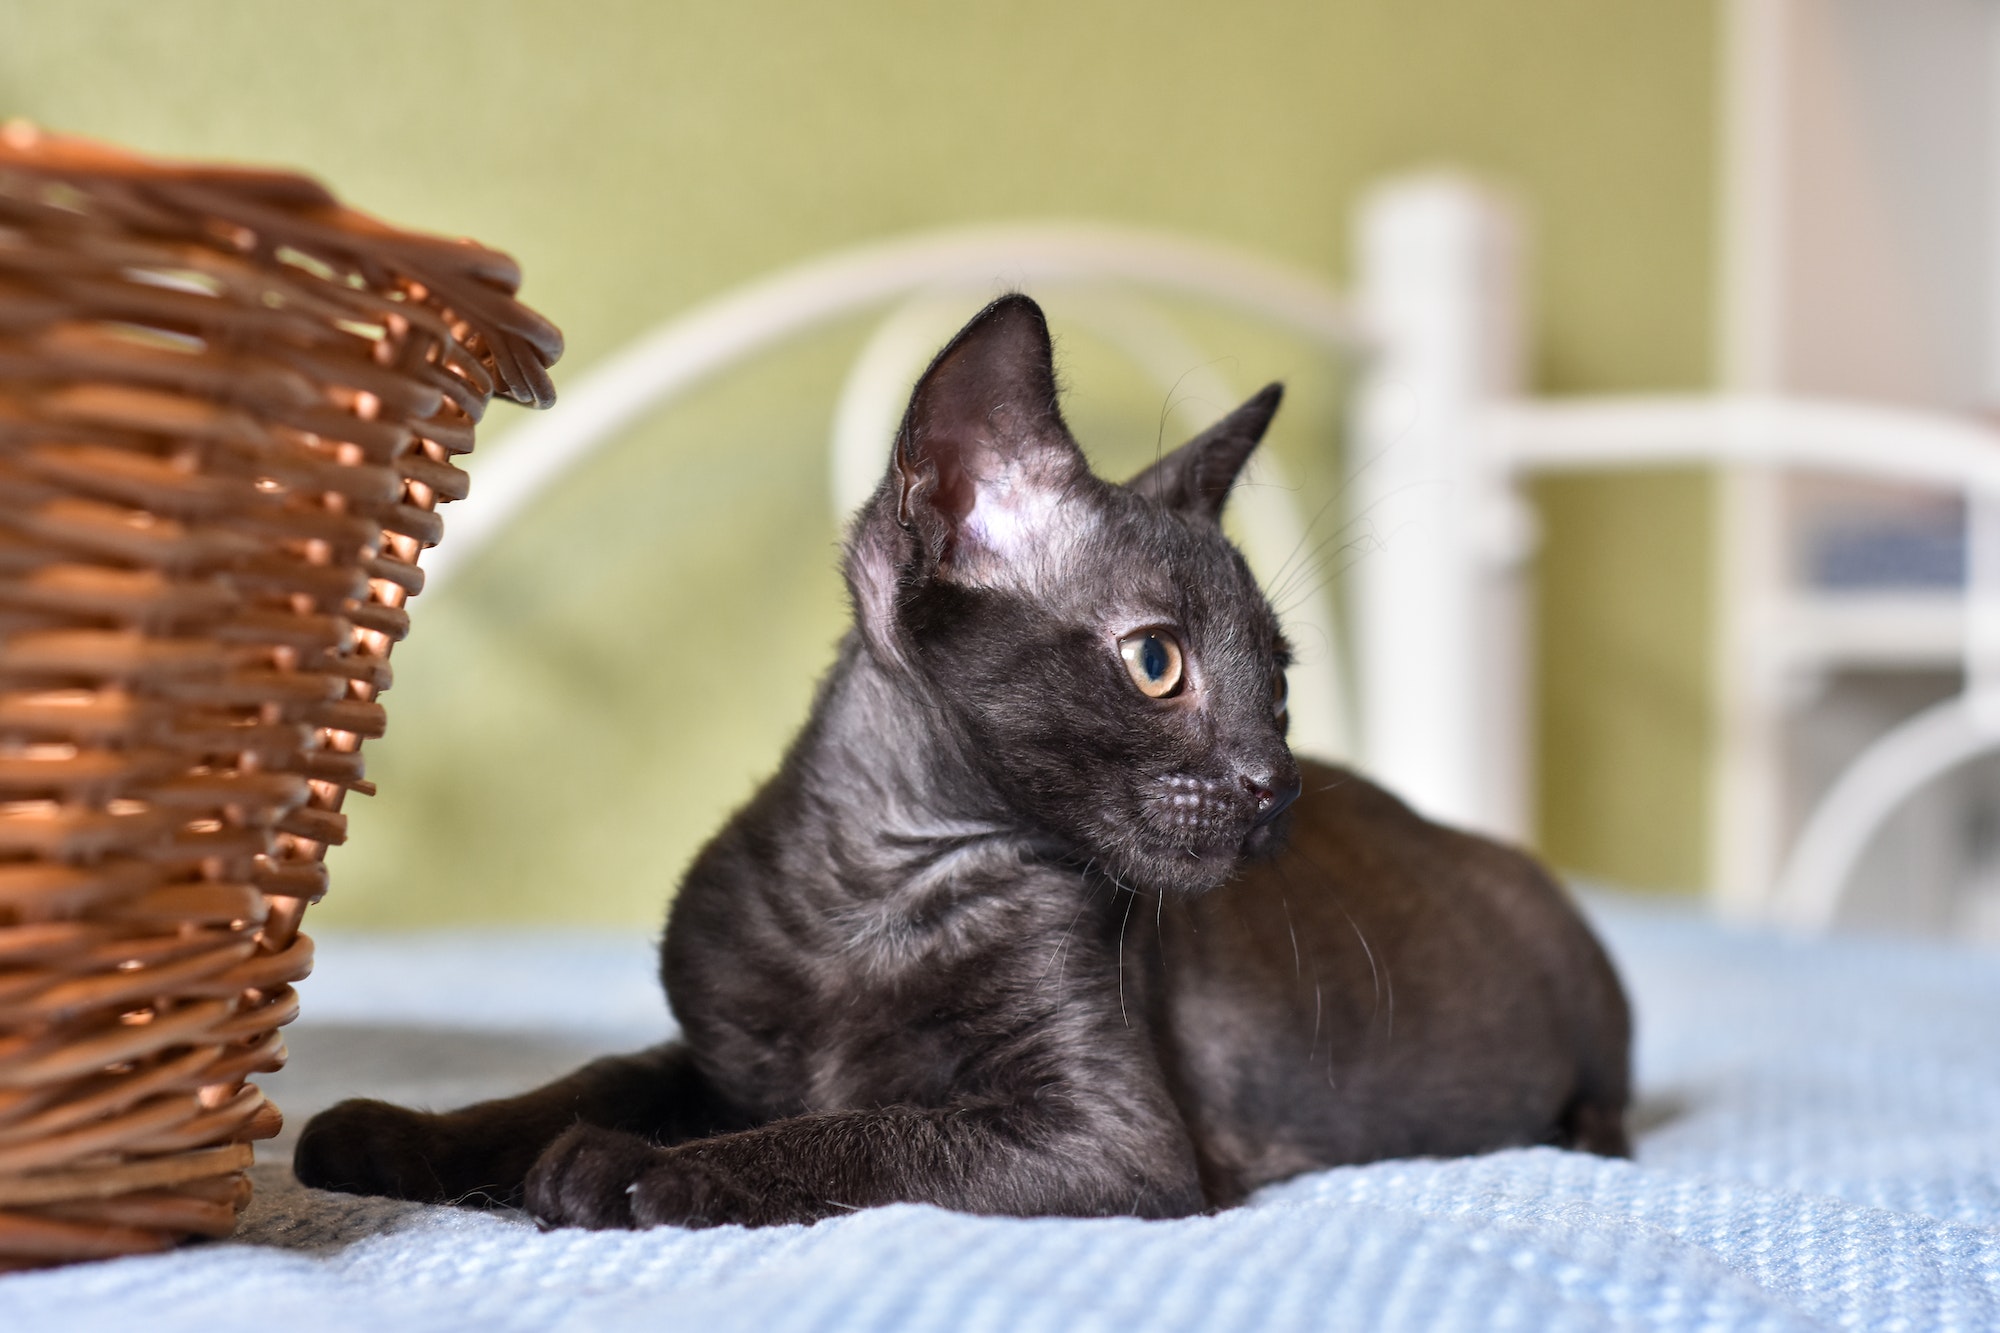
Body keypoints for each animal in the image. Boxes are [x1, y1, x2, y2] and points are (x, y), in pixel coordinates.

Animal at [292, 290, 1624, 1224]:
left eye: (1281, 685)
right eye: (1157, 662)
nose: (1275, 784)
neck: (871, 895)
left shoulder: (1106, 1135)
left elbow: (868, 1132)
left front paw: (636, 1172)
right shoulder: (712, 1052)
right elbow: (587, 1078)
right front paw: (398, 1135)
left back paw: (1585, 1138)